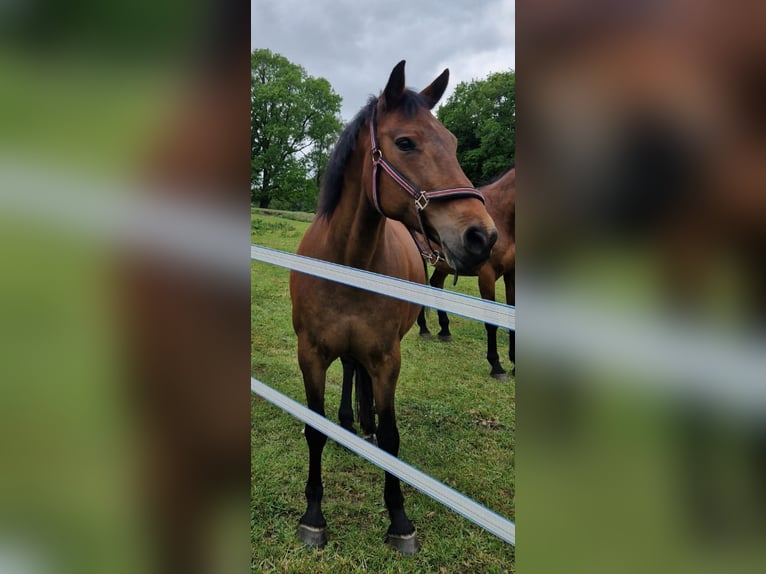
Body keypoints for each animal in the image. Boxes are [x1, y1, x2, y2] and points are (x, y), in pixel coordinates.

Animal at [288, 60, 498, 556]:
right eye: (405, 142)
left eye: (454, 143)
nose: (482, 236)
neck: (346, 260)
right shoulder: (310, 355)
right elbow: (314, 428)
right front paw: (313, 516)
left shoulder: (387, 359)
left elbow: (390, 436)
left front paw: (400, 520)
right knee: (350, 371)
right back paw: (350, 421)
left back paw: (361, 423)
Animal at [416, 169, 520, 380]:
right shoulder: (486, 277)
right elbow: (491, 322)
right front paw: (496, 366)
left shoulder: (511, 275)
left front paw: (514, 365)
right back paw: (424, 328)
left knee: (435, 283)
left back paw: (445, 331)